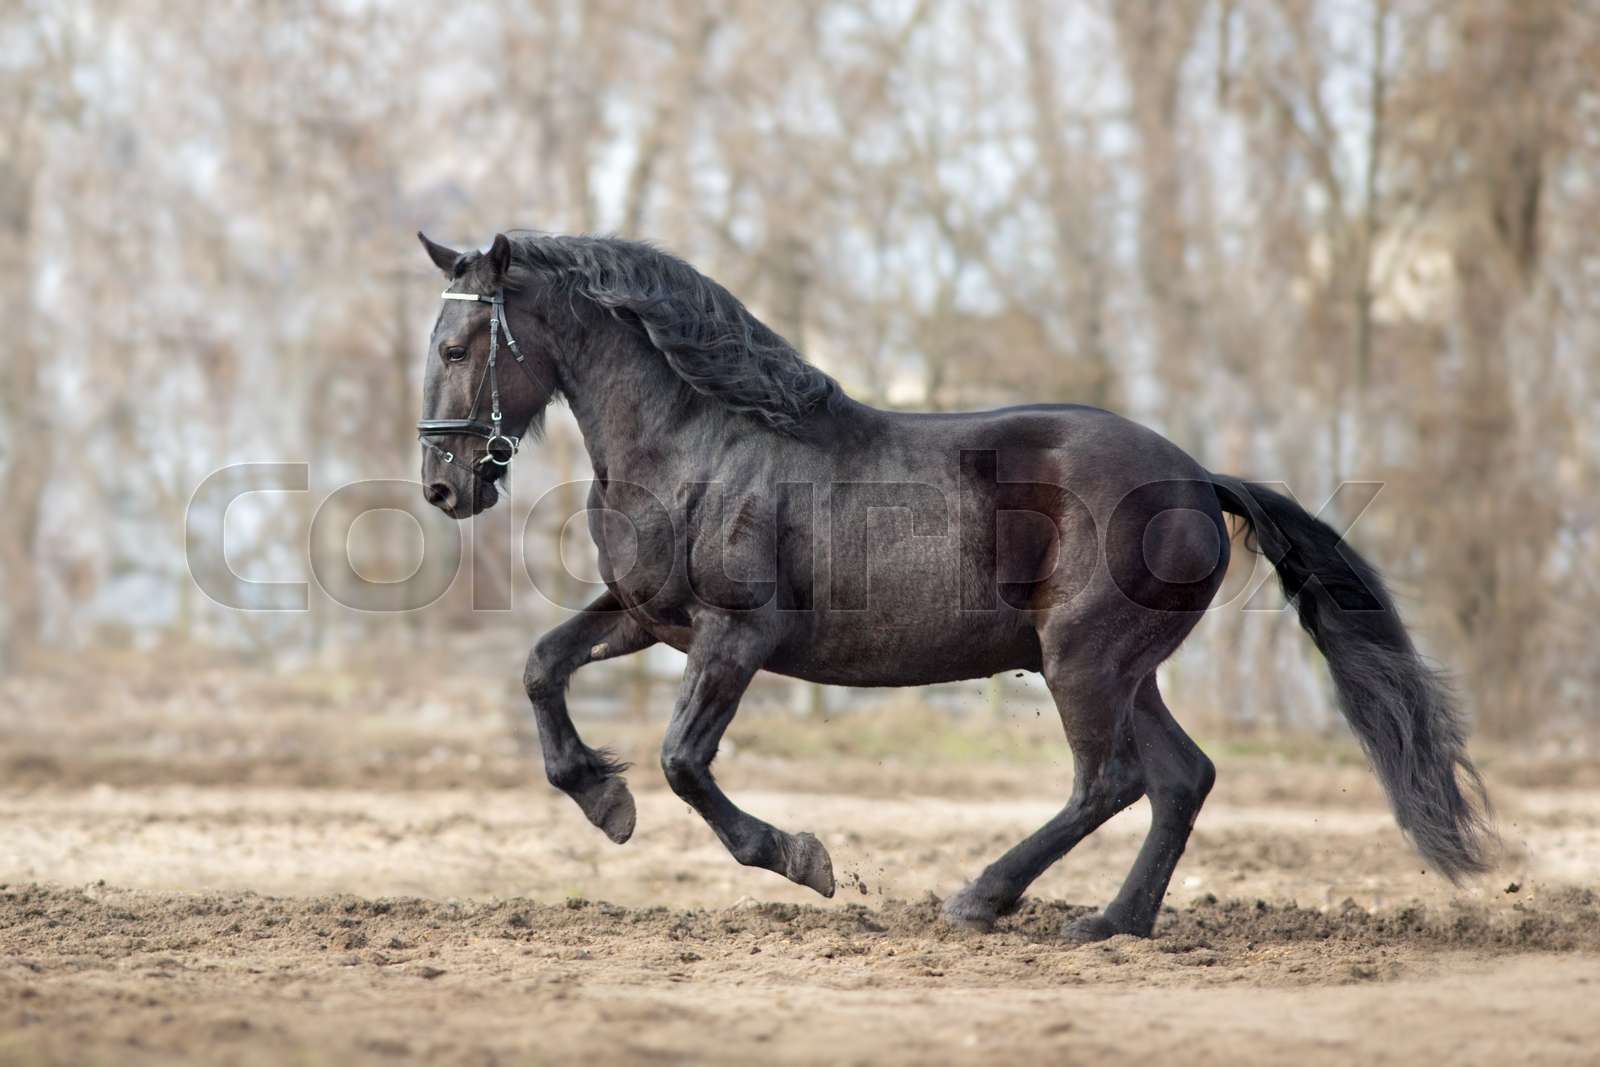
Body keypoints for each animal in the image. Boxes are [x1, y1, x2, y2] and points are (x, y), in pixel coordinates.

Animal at [413, 230, 1491, 942]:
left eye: (457, 348)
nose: (442, 487)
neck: (695, 442)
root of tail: (1197, 478)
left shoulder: (736, 634)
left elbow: (684, 759)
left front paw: (804, 859)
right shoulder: (647, 617)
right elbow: (541, 665)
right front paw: (602, 798)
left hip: (1083, 659)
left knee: (1112, 780)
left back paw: (983, 897)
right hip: (1120, 668)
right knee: (1182, 776)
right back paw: (1112, 921)